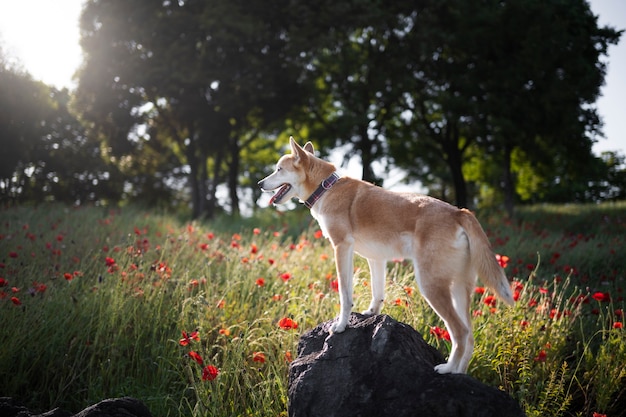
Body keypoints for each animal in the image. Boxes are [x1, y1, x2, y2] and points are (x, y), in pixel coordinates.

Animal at [258, 137, 512, 374]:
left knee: (459, 332)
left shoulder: (341, 248)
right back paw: (459, 373)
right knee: (469, 335)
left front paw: (341, 325)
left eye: (279, 169)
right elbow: (377, 292)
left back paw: (447, 369)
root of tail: (459, 212)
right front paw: (371, 313)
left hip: (432, 286)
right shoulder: (376, 259)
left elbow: (345, 295)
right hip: (459, 288)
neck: (326, 188)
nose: (260, 184)